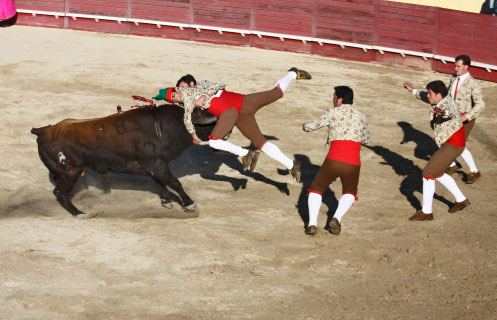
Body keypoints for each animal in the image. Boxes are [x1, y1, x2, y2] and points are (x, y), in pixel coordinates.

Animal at [31, 105, 216, 218]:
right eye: (212, 123)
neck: (164, 127)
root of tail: (43, 131)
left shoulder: (154, 167)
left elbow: (162, 183)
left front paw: (166, 201)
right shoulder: (156, 164)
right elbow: (175, 183)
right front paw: (189, 204)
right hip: (70, 171)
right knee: (59, 192)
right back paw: (78, 213)